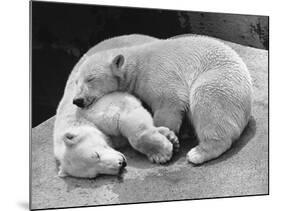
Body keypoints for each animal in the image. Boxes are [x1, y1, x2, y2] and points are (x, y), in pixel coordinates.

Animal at [53, 34, 177, 178]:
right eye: (95, 175)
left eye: (96, 155)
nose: (120, 164)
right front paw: (169, 136)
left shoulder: (99, 109)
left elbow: (127, 116)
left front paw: (162, 152)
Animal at [72, 34, 252, 165]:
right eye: (76, 81)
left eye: (90, 78)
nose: (77, 100)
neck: (135, 64)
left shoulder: (157, 73)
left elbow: (169, 100)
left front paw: (166, 138)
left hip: (220, 81)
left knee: (207, 102)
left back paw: (198, 153)